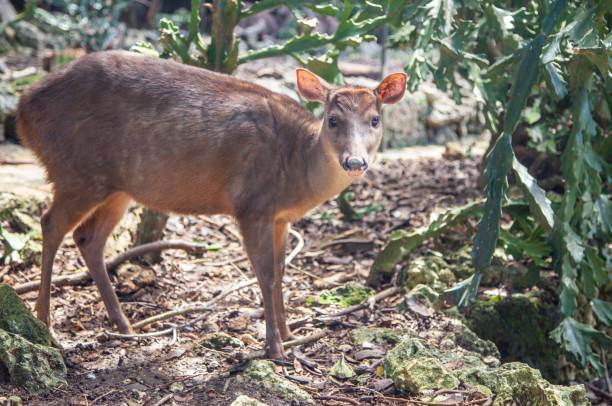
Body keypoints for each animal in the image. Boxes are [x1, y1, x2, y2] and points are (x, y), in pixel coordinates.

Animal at [15, 50, 406, 358]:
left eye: (375, 119)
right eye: (333, 119)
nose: (354, 162)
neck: (296, 169)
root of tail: (22, 110)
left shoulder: (281, 218)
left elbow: (282, 272)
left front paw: (289, 332)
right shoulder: (252, 206)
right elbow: (265, 275)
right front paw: (275, 348)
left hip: (116, 187)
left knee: (88, 238)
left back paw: (124, 325)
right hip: (76, 170)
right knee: (50, 223)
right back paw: (44, 321)